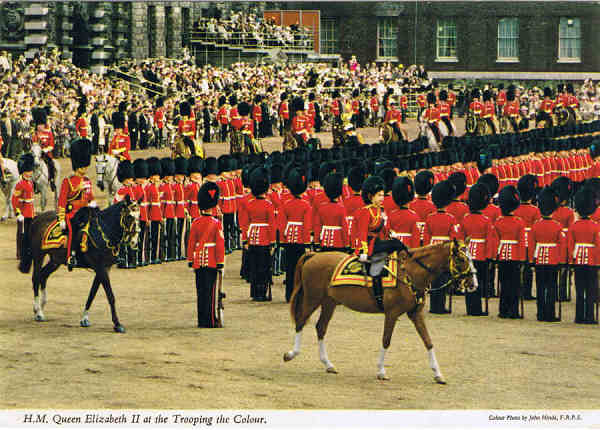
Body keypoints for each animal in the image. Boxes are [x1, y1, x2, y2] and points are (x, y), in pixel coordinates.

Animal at [17, 197, 139, 334]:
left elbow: (92, 293)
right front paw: (117, 324)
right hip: (39, 255)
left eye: (139, 215)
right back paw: (38, 311)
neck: (103, 231)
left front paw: (84, 318)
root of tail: (37, 217)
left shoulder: (104, 269)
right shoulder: (101, 268)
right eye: (129, 216)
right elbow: (110, 295)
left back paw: (41, 307)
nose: (134, 241)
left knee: (43, 276)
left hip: (55, 260)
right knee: (36, 278)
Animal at [284, 239, 476, 382]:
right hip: (313, 299)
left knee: (320, 328)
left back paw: (328, 364)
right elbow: (386, 340)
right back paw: (291, 354)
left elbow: (428, 341)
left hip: (329, 302)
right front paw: (381, 371)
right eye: (461, 259)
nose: (473, 284)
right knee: (301, 322)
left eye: (470, 257)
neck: (409, 273)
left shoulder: (415, 314)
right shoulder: (392, 314)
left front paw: (438, 374)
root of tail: (314, 254)